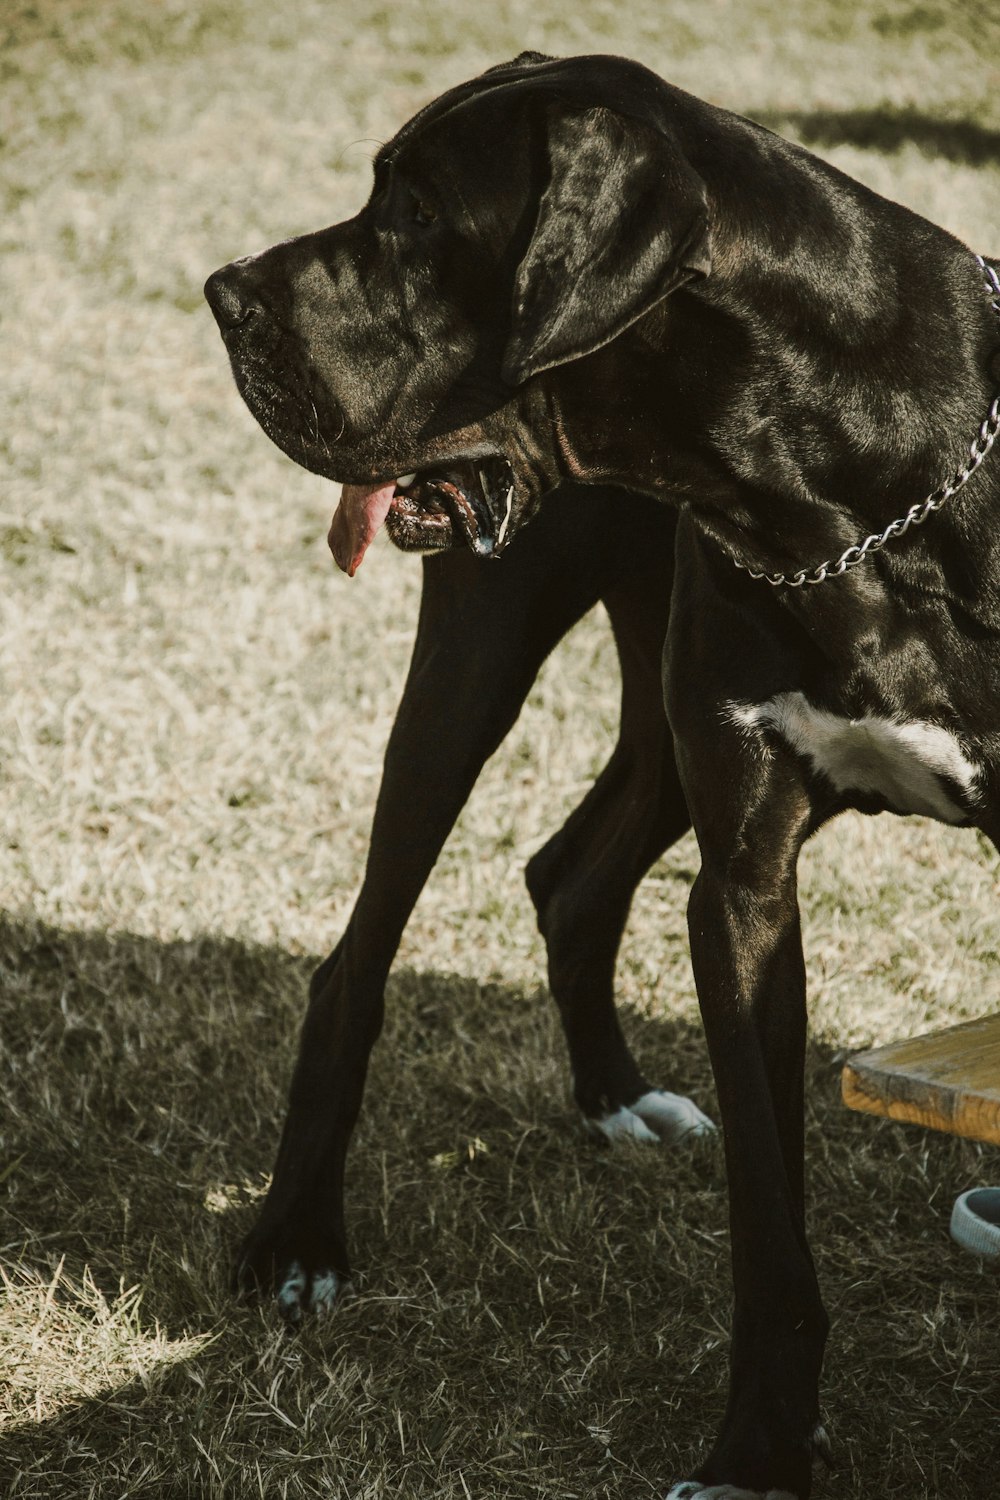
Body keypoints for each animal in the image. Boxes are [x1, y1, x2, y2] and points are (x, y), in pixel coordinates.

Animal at [205, 49, 1000, 1500]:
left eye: (416, 213)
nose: (223, 294)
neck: (851, 497)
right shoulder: (745, 886)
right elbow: (769, 1225)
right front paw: (758, 1453)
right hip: (479, 661)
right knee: (359, 958)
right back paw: (299, 1241)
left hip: (653, 731)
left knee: (572, 873)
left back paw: (617, 1099)